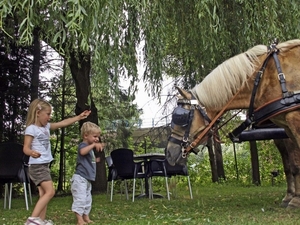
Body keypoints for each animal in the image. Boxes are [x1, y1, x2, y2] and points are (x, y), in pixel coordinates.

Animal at [166, 39, 300, 209]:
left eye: (180, 117)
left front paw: (295, 199)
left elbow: (296, 162)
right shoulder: (285, 127)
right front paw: (291, 197)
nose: (169, 153)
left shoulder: (294, 120)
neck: (266, 76)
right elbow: (291, 164)